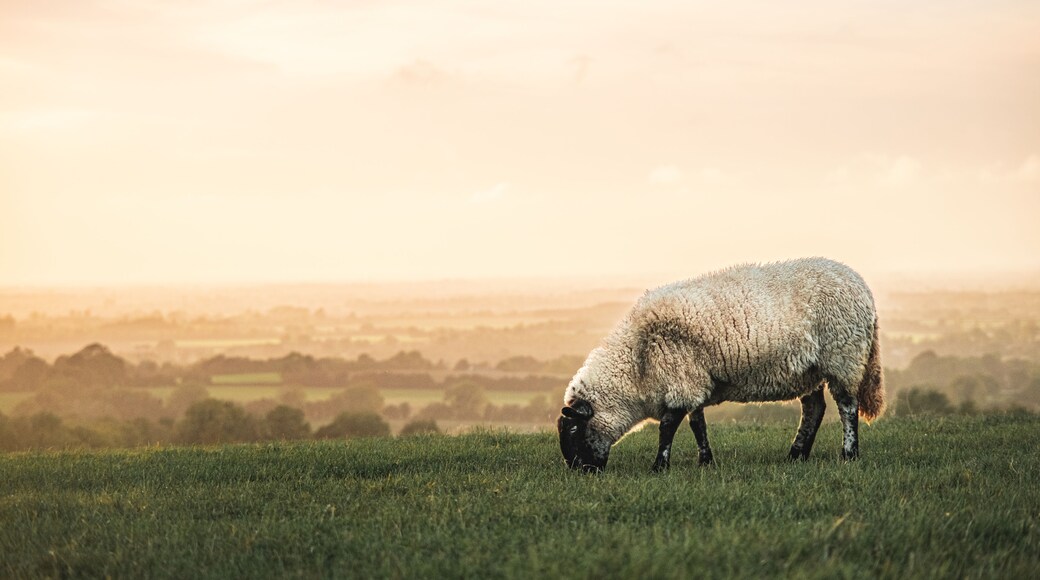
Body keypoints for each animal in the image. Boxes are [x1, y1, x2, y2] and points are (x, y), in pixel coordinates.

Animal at [558, 257, 884, 472]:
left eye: (573, 429)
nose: (581, 470)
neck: (637, 364)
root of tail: (863, 287)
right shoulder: (693, 380)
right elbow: (697, 424)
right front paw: (706, 461)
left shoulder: (681, 379)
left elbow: (668, 426)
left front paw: (659, 466)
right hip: (807, 369)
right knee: (814, 409)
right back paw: (796, 454)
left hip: (843, 355)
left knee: (847, 407)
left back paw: (848, 454)